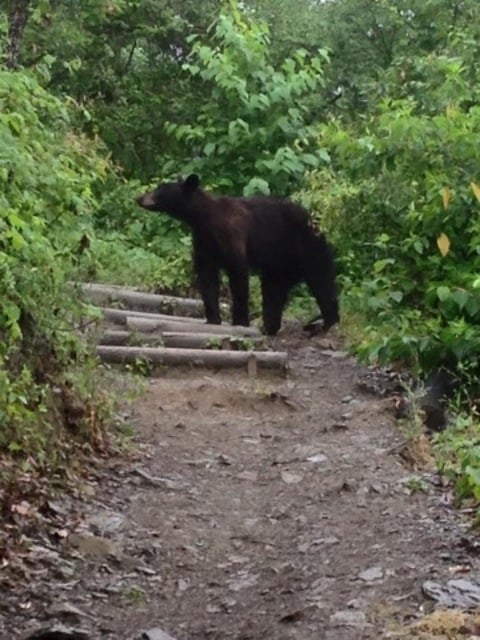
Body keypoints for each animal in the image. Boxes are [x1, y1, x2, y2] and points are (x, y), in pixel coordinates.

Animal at [137, 175, 340, 336]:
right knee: (274, 290)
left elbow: (238, 275)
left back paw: (326, 323)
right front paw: (213, 319)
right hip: (279, 264)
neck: (204, 219)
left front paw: (240, 322)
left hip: (307, 247)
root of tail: (316, 220)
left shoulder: (231, 237)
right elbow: (207, 278)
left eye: (159, 189)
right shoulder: (204, 244)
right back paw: (270, 326)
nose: (139, 197)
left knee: (322, 280)